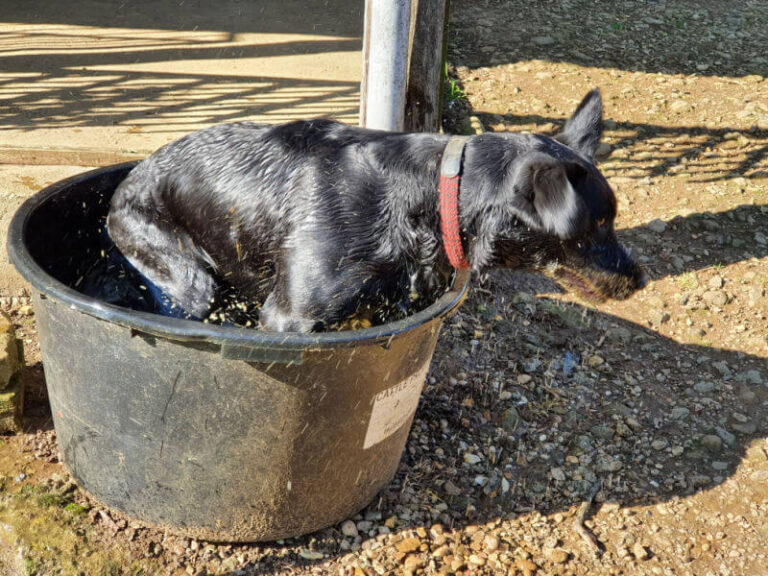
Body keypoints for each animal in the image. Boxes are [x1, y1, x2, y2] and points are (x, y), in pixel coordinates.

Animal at [105, 90, 644, 332]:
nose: (639, 279)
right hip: (184, 276)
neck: (428, 198)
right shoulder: (288, 318)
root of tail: (129, 180)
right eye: (597, 225)